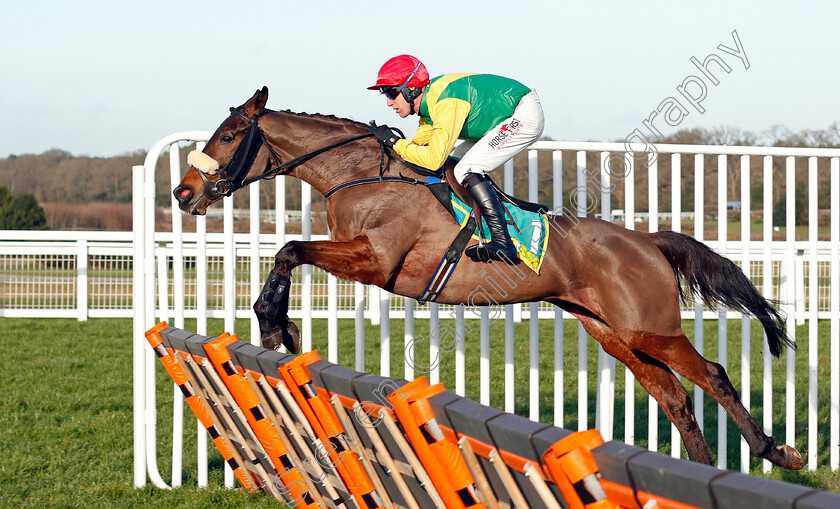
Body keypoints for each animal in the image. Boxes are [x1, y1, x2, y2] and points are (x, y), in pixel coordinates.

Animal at [169, 86, 800, 468]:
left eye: (229, 136)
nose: (183, 192)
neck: (362, 176)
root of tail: (648, 241)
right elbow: (289, 253)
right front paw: (278, 326)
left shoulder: (375, 261)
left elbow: (288, 250)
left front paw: (276, 325)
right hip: (614, 334)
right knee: (674, 396)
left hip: (651, 329)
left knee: (712, 375)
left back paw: (774, 450)